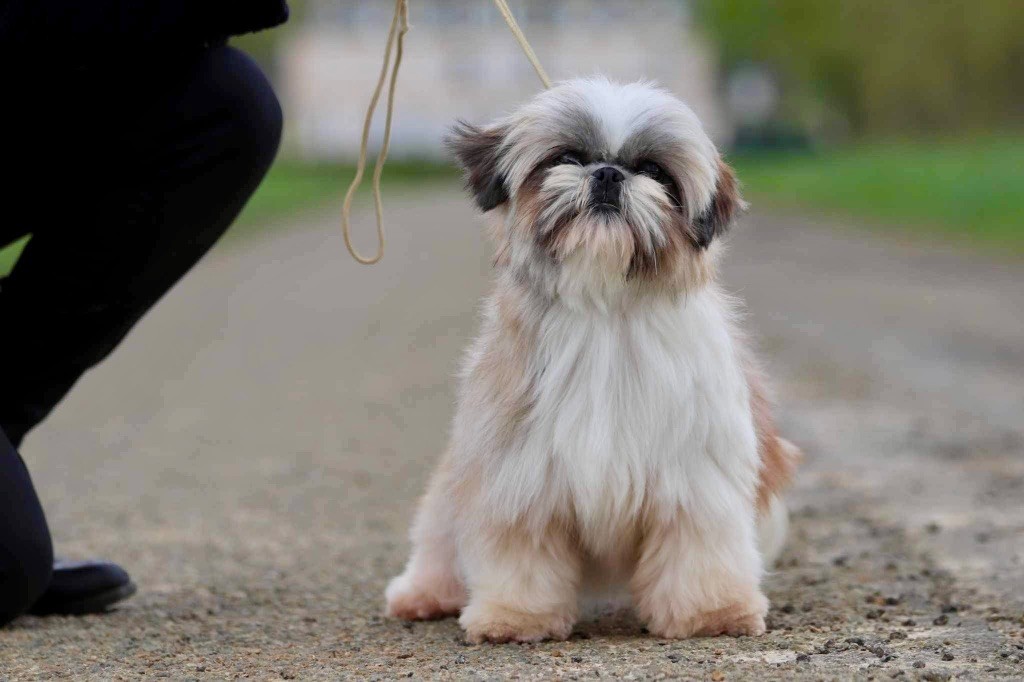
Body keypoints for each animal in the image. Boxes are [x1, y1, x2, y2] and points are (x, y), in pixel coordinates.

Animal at [385, 76, 798, 638]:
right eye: (566, 157)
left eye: (654, 171)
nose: (607, 173)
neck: (603, 309)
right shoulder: (519, 473)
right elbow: (521, 555)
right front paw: (515, 615)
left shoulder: (695, 475)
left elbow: (698, 548)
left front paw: (712, 613)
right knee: (438, 541)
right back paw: (424, 593)